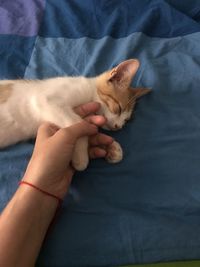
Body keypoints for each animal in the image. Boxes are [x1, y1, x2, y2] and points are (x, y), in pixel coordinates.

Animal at [0, 59, 150, 171]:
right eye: (118, 108)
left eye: (126, 120)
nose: (118, 127)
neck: (89, 91)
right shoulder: (45, 100)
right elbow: (77, 122)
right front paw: (81, 158)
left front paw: (113, 149)